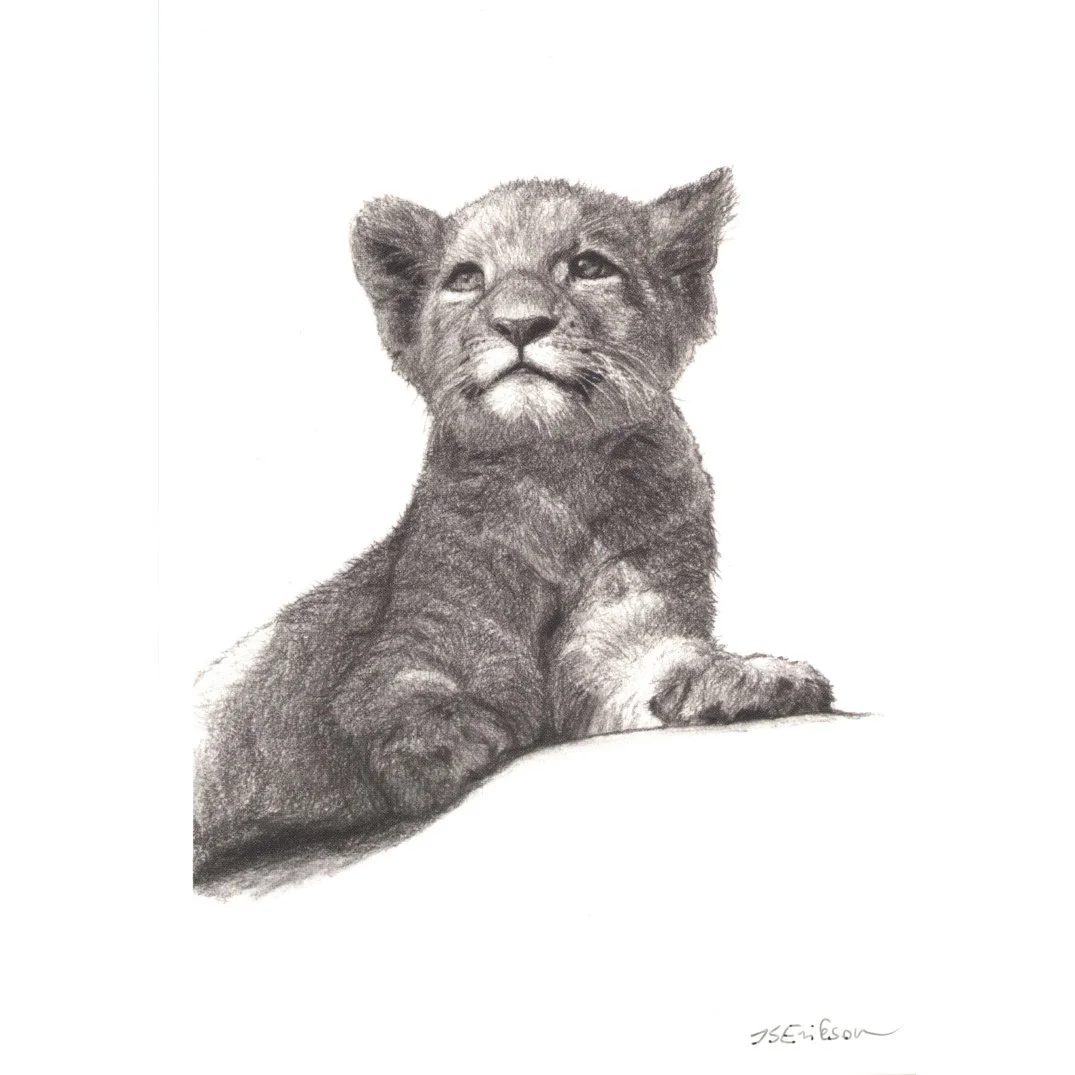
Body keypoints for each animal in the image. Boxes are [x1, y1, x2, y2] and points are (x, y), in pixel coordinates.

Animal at [194, 169, 834, 885]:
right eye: (466, 278)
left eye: (589, 267)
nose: (519, 323)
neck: (555, 482)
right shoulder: (411, 645)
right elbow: (392, 694)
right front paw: (443, 744)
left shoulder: (617, 651)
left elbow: (665, 666)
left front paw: (761, 677)